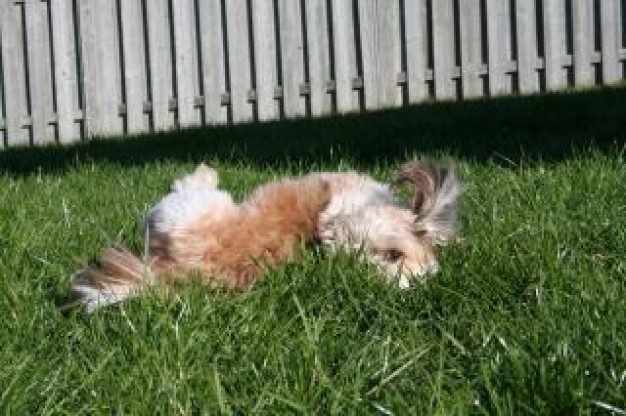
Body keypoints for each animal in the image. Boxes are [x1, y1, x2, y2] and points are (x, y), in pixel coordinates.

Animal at [68, 162, 460, 312]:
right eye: (395, 255)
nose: (362, 264)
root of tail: (171, 273)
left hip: (188, 211)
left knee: (179, 195)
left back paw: (204, 173)